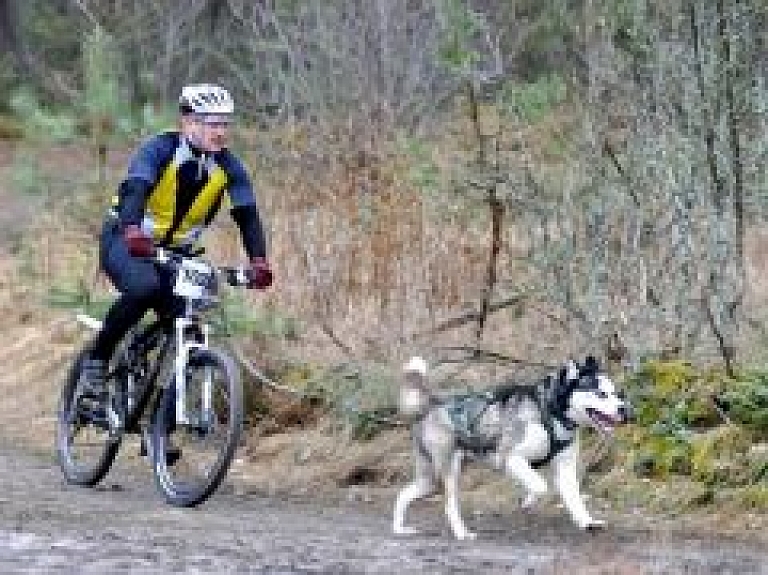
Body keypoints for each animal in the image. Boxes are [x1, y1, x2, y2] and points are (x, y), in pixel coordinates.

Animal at [392, 356, 632, 540]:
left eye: (615, 393)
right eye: (601, 393)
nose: (624, 410)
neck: (549, 411)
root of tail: (434, 403)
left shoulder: (565, 469)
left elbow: (575, 499)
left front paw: (587, 522)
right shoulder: (511, 458)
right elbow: (540, 486)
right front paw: (529, 499)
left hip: (429, 479)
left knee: (403, 494)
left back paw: (399, 528)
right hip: (448, 473)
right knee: (450, 506)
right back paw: (461, 533)